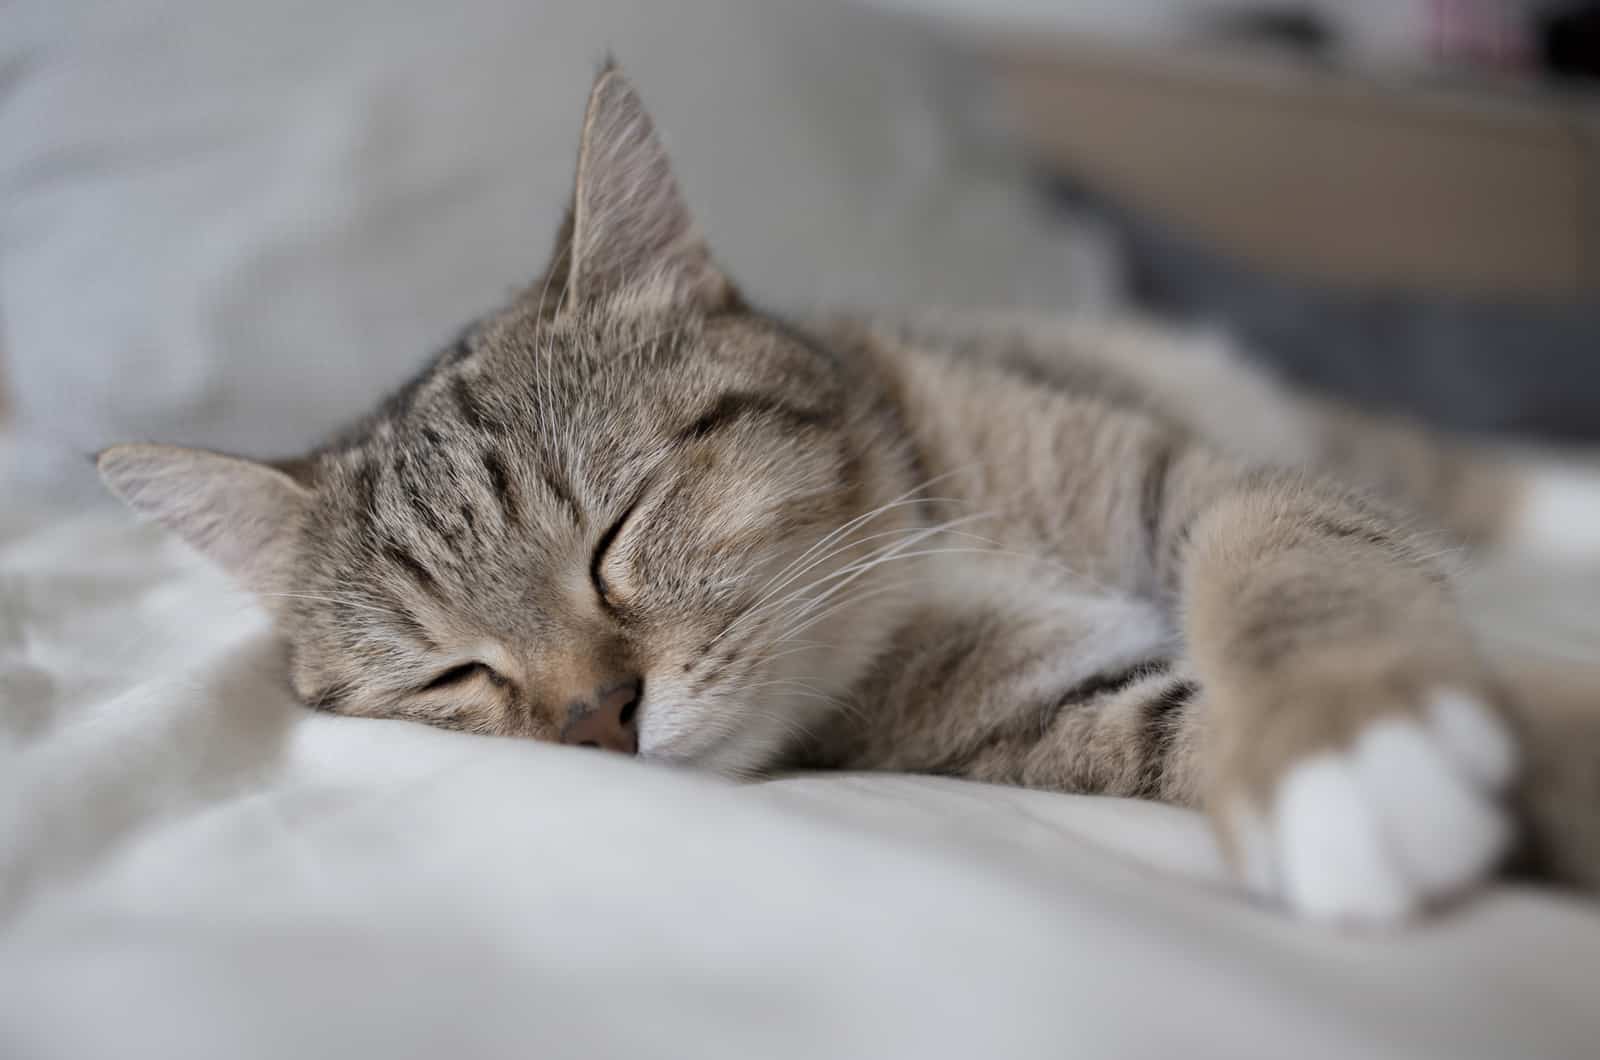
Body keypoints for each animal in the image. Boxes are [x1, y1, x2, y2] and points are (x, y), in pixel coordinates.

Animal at [96, 66, 1600, 928]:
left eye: (615, 531)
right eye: (452, 674)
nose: (595, 717)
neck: (909, 554)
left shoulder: (1204, 481)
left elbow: (1292, 566)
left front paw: (1342, 729)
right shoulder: (1069, 703)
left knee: (1448, 470)